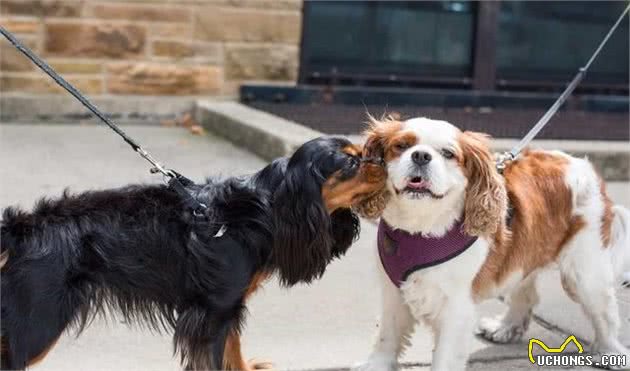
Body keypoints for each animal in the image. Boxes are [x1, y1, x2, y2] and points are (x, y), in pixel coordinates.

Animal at [0, 137, 388, 371]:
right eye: (351, 163)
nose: (383, 159)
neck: (267, 209)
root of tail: (21, 228)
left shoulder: (228, 308)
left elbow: (234, 350)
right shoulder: (214, 312)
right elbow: (216, 357)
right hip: (40, 320)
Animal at [356, 116, 630, 371]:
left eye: (448, 154)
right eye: (401, 146)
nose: (421, 155)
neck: (420, 228)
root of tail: (587, 169)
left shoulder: (456, 308)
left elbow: (445, 356)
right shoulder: (393, 292)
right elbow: (387, 336)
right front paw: (376, 365)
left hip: (584, 275)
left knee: (605, 314)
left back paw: (611, 352)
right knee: (526, 292)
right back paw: (506, 327)